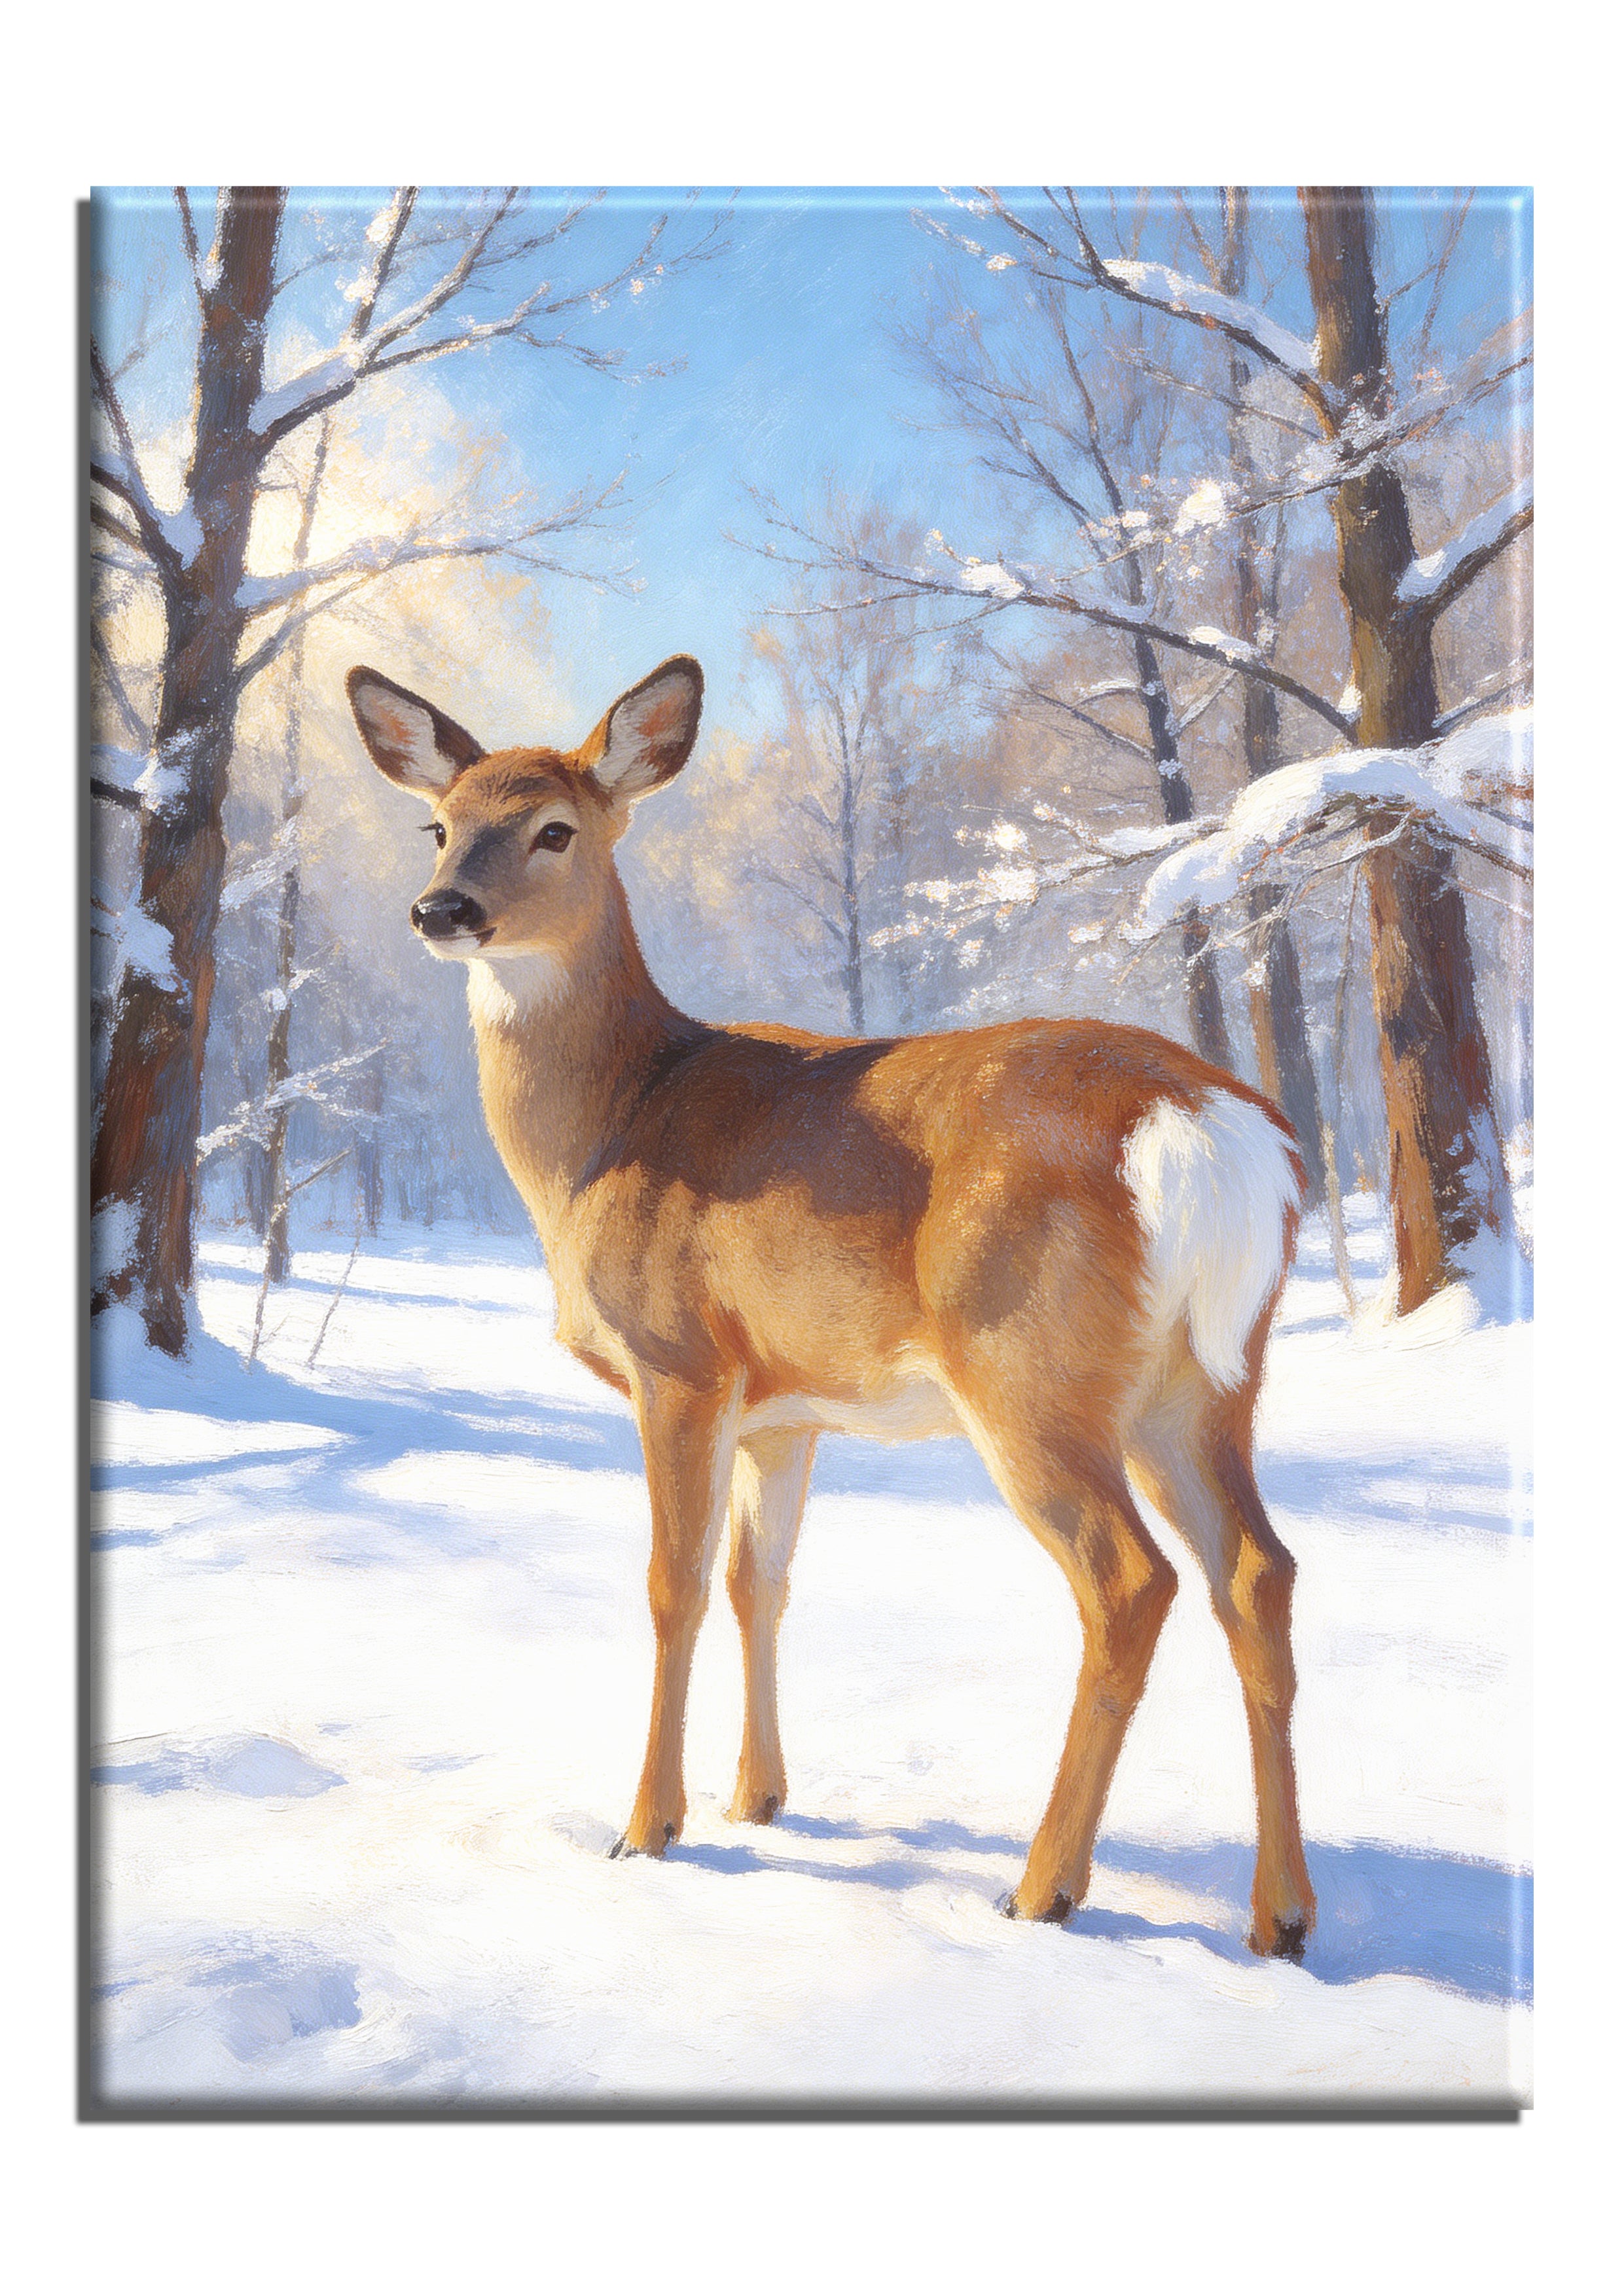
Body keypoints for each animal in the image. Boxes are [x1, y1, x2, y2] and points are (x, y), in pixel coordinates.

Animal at [347, 652, 1316, 1959]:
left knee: (1130, 1582)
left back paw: (1042, 1886)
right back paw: (1281, 1916)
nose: (442, 909)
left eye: (555, 827)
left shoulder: (680, 1362)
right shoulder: (786, 1408)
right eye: (438, 824)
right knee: (1258, 1572)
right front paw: (758, 1798)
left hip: (1029, 1368)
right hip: (1206, 1378)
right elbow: (761, 1582)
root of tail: (1205, 1125)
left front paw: (649, 1827)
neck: (610, 1128)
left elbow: (671, 1584)